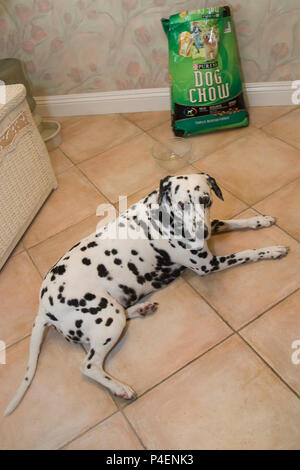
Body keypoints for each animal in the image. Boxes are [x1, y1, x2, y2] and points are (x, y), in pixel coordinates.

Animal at [4, 173, 290, 414]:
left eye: (205, 199)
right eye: (182, 204)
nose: (202, 232)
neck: (161, 214)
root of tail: (43, 307)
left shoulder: (213, 225)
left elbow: (235, 221)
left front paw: (260, 219)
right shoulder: (208, 264)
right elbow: (249, 252)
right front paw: (273, 249)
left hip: (113, 311)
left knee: (123, 315)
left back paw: (142, 308)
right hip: (108, 318)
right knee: (89, 366)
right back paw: (119, 387)